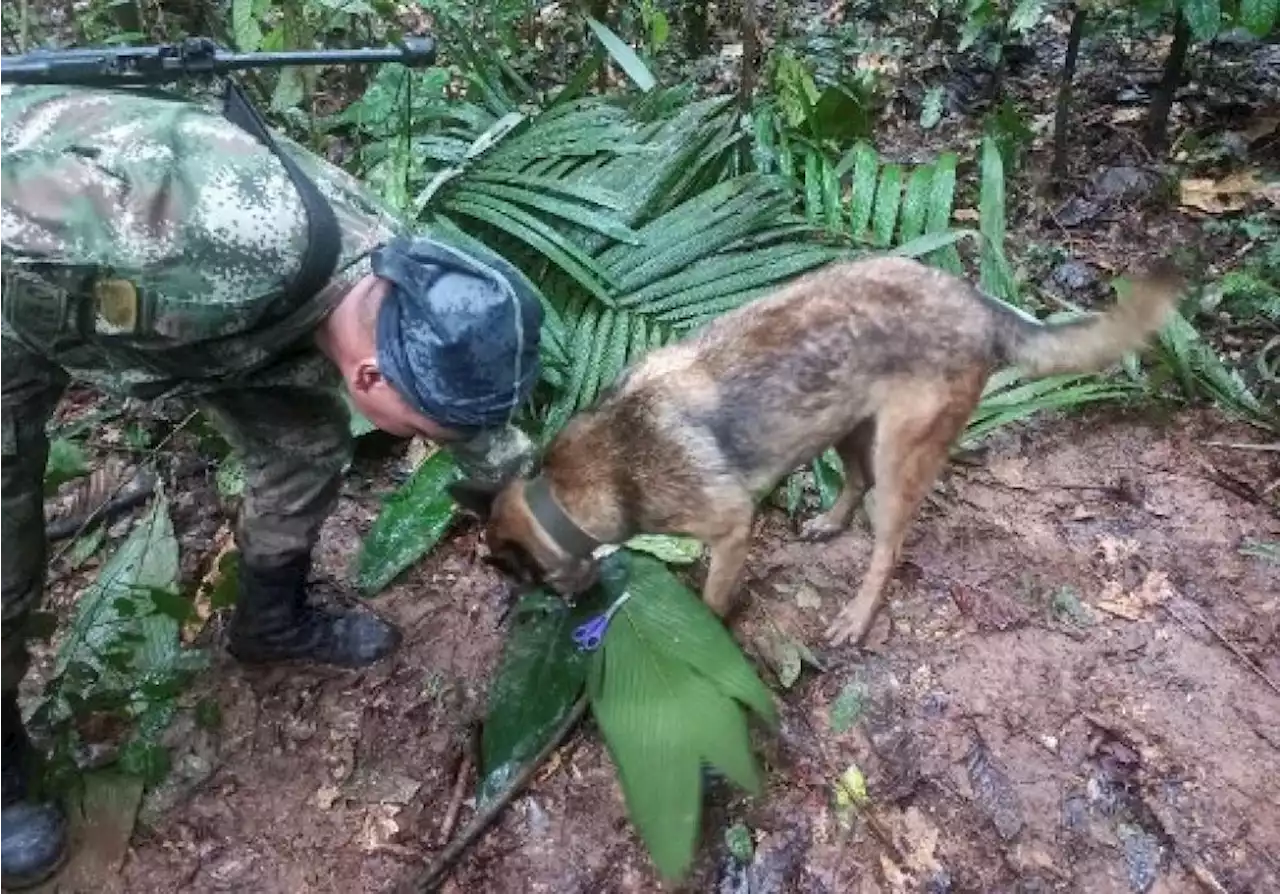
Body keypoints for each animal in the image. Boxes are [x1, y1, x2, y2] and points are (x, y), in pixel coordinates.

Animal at [448, 253, 1177, 642]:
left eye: (524, 579)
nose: (561, 612)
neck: (575, 487)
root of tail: (977, 301)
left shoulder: (730, 527)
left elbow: (712, 597)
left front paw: (709, 630)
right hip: (846, 426)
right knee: (853, 482)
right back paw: (829, 522)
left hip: (899, 456)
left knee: (887, 545)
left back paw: (857, 614)